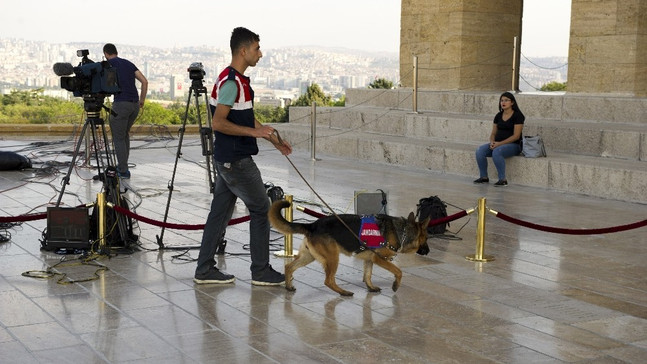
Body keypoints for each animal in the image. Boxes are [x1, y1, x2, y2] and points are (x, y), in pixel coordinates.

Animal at [268, 199, 430, 296]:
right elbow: (398, 271)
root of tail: (312, 225)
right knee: (328, 280)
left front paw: (370, 287)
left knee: (289, 267)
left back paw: (289, 286)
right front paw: (395, 285)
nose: (428, 251)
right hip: (333, 258)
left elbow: (368, 275)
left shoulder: (369, 260)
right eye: (427, 238)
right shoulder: (379, 259)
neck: (402, 231)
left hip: (309, 256)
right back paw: (343, 292)